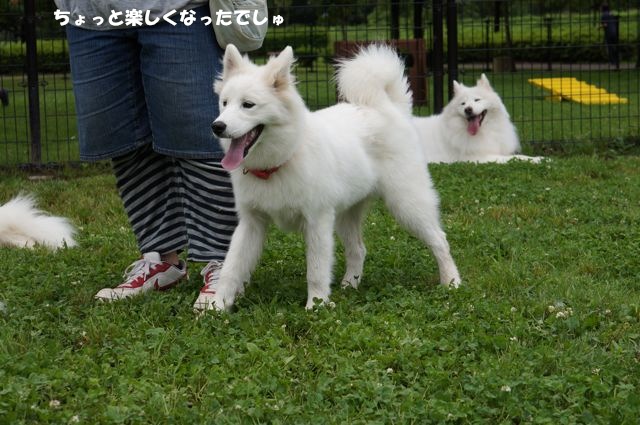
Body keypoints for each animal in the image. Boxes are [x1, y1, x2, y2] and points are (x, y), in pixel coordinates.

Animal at [192, 44, 462, 312]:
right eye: (224, 103)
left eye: (248, 105)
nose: (217, 126)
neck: (280, 161)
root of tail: (387, 107)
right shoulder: (251, 224)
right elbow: (232, 268)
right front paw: (217, 305)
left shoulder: (317, 221)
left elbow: (316, 270)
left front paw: (316, 305)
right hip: (345, 216)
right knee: (358, 250)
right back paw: (349, 285)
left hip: (406, 205)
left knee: (440, 240)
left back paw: (451, 281)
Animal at [412, 73, 544, 163]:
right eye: (463, 104)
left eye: (477, 100)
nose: (468, 110)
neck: (485, 131)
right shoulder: (479, 158)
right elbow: (513, 158)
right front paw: (538, 160)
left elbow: (522, 156)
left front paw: (540, 158)